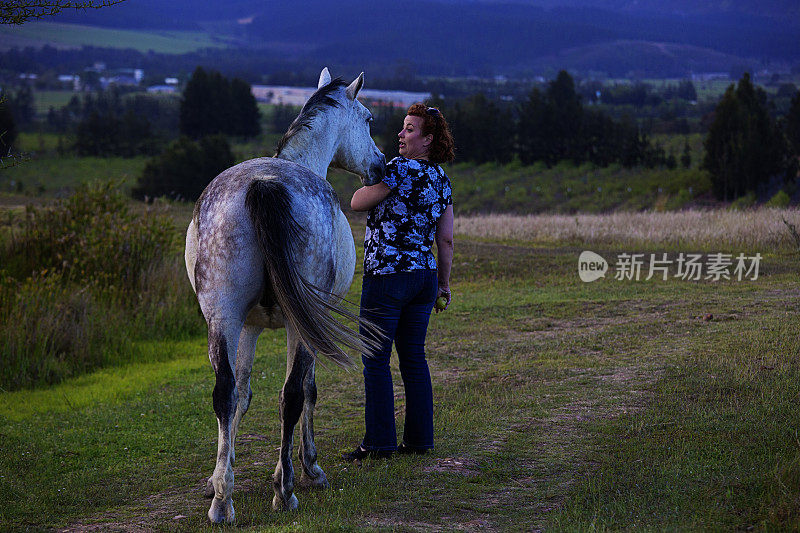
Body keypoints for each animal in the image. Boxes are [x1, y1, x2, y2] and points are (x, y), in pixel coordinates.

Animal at [188, 68, 388, 520]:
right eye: (368, 119)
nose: (380, 166)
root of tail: (263, 184)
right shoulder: (311, 321)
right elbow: (307, 391)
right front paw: (308, 467)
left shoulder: (248, 325)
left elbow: (241, 394)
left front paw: (219, 477)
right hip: (297, 326)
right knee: (292, 396)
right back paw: (287, 490)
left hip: (222, 317)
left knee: (224, 393)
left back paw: (223, 504)